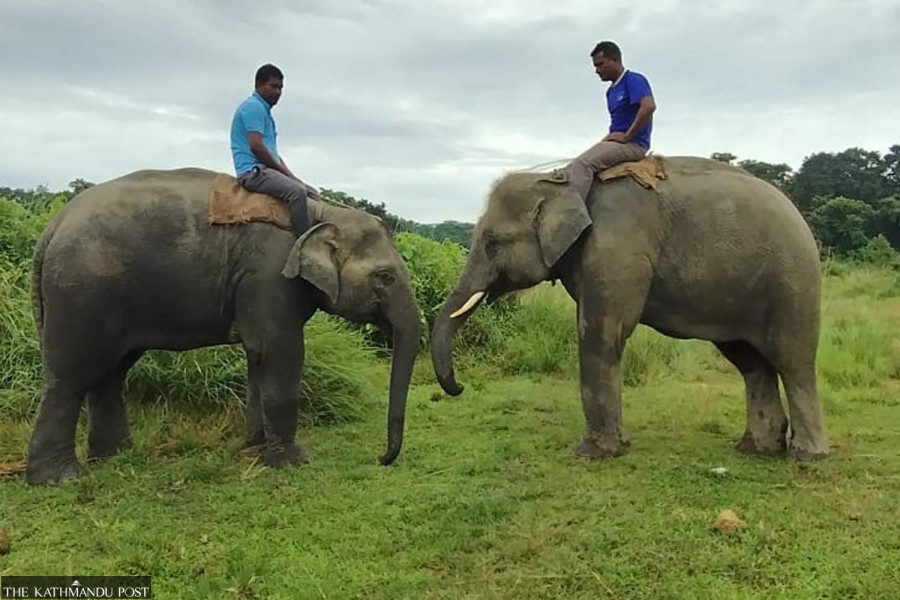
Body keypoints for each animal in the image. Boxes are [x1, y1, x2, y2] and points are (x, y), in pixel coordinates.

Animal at [26, 167, 420, 485]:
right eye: (384, 277)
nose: (382, 458)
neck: (324, 213)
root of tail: (52, 227)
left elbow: (258, 357)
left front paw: (253, 451)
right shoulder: (269, 273)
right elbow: (280, 350)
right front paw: (294, 461)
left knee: (111, 373)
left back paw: (116, 454)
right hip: (82, 291)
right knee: (71, 378)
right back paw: (60, 478)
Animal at [432, 156, 828, 461]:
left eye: (492, 242)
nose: (459, 388)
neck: (559, 180)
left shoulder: (616, 249)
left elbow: (602, 332)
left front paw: (592, 454)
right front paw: (618, 445)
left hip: (793, 283)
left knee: (793, 361)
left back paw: (806, 456)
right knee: (751, 363)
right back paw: (756, 449)